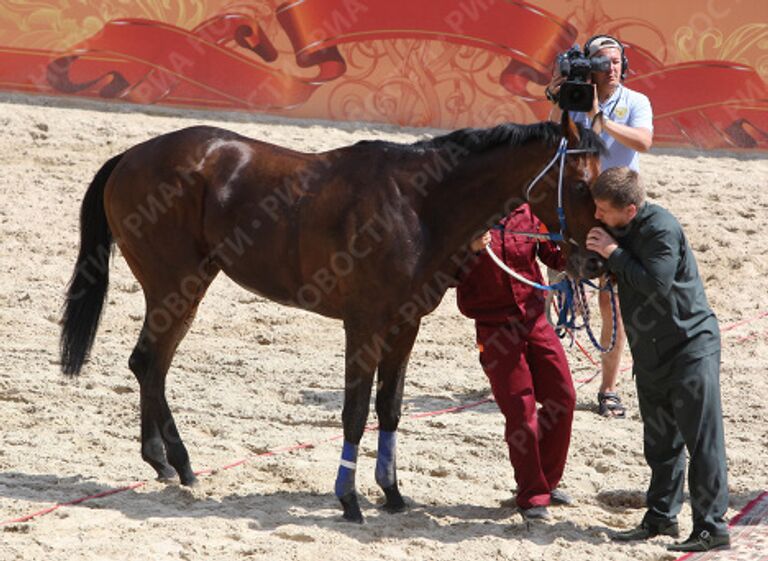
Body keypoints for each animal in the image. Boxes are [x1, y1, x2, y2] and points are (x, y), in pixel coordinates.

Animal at [60, 114, 608, 520]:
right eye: (584, 185)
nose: (596, 261)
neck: (419, 204)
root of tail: (131, 156)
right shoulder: (363, 324)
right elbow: (355, 411)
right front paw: (348, 499)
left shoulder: (405, 323)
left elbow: (390, 407)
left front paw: (392, 492)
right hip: (176, 285)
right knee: (147, 362)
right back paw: (177, 461)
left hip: (187, 288)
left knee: (151, 364)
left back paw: (167, 463)